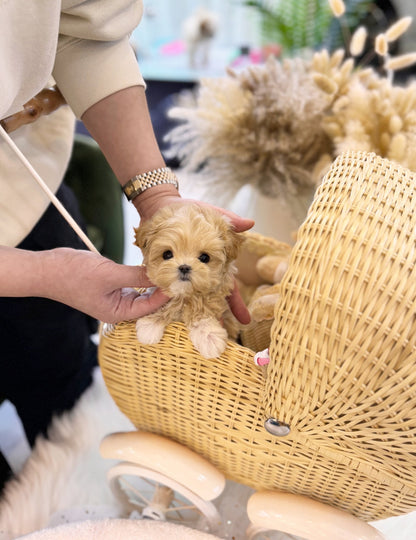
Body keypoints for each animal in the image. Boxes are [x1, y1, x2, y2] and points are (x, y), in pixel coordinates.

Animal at [133, 202, 244, 358]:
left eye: (204, 258)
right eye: (167, 254)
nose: (184, 267)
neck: (185, 295)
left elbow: (204, 309)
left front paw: (209, 336)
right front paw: (151, 325)